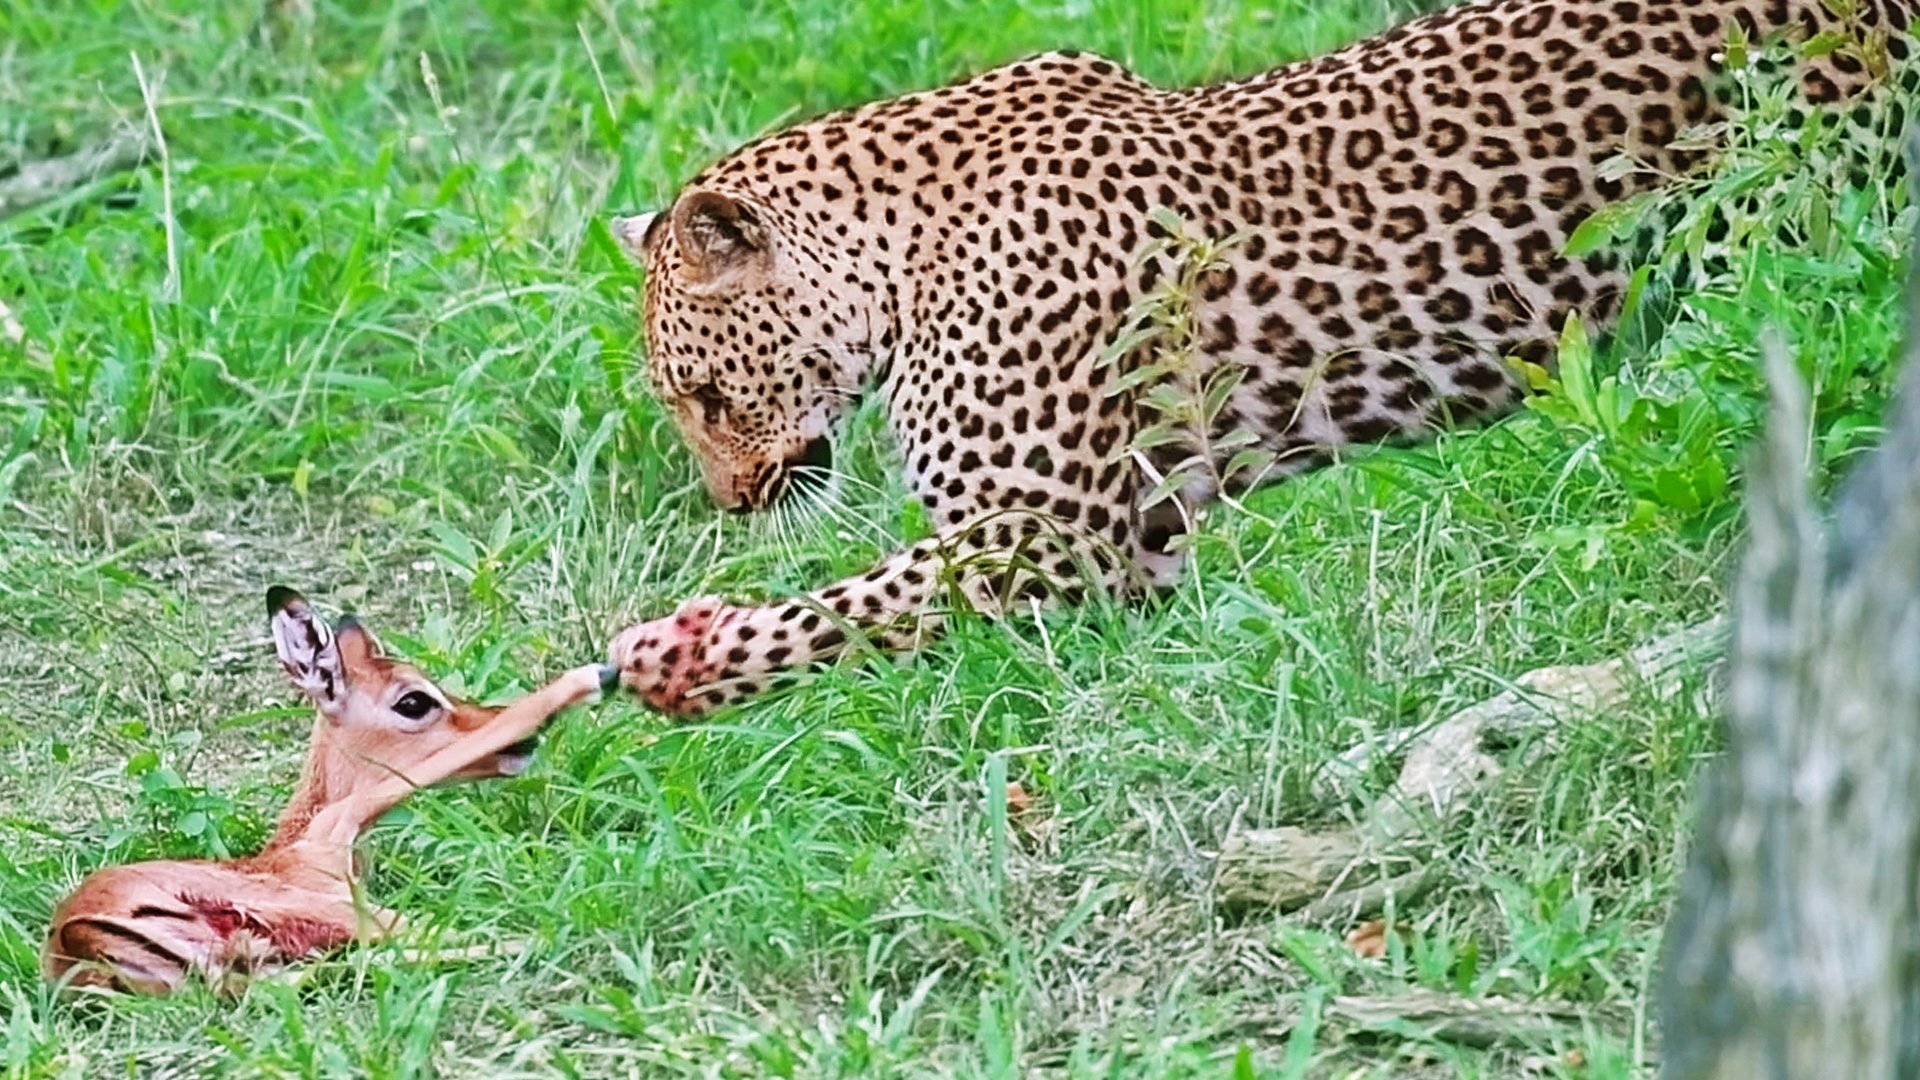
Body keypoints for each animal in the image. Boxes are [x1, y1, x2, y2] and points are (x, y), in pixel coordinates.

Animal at [43, 586, 615, 995]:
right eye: (413, 701)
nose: (519, 742)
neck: (295, 847)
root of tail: (76, 939)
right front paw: (594, 674)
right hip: (334, 923)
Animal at [606, 0, 1917, 716]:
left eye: (703, 396)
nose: (730, 503)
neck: (894, 259)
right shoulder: (1142, 545)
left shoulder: (1049, 536)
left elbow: (847, 608)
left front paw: (692, 660)